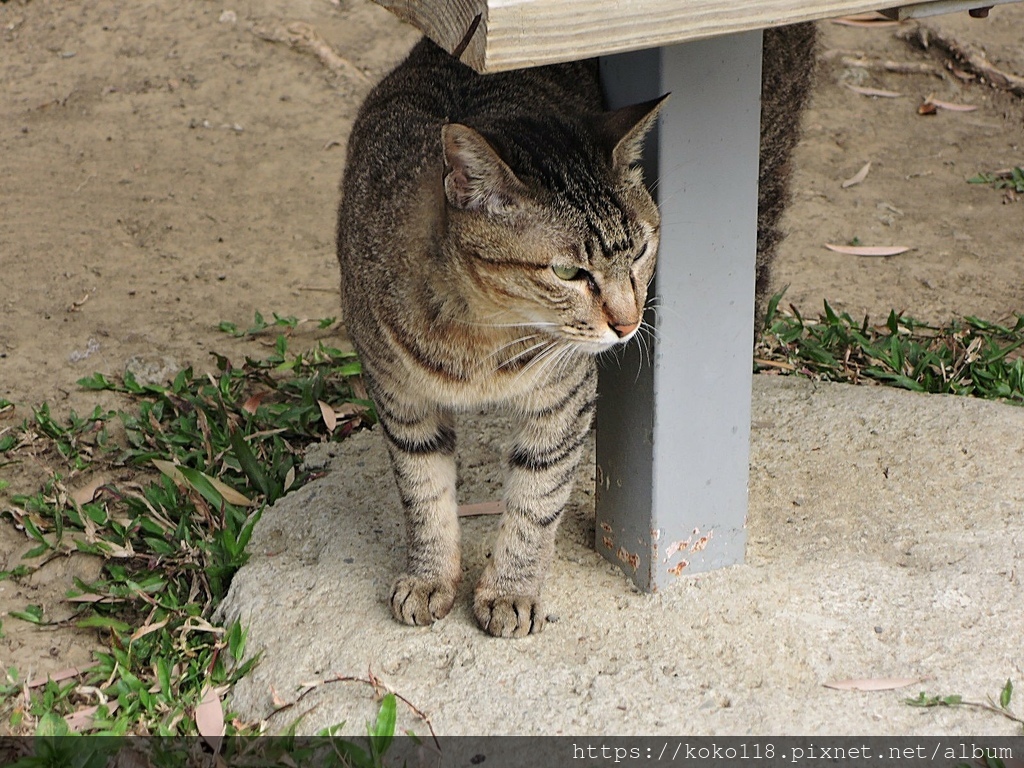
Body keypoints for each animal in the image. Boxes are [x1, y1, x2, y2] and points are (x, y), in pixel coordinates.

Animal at [335, 25, 815, 638]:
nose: (628, 323)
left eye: (640, 249)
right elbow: (424, 493)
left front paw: (511, 590)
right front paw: (429, 576)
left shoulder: (564, 397)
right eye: (567, 272)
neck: (481, 336)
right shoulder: (399, 395)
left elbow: (536, 500)